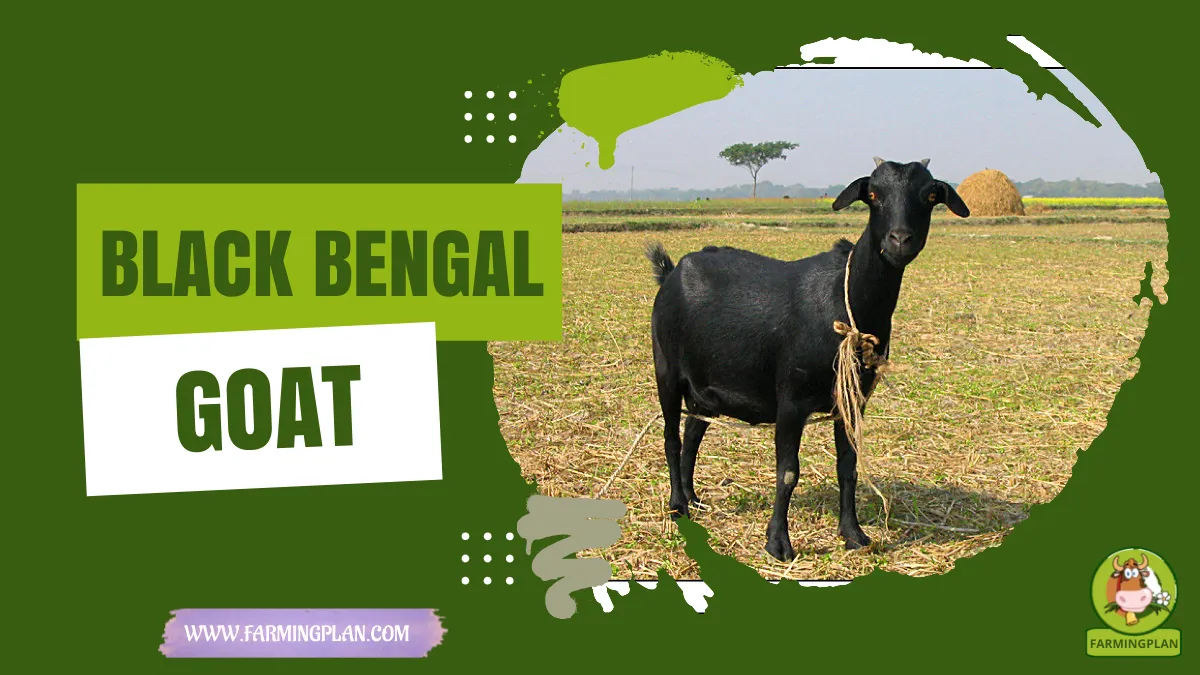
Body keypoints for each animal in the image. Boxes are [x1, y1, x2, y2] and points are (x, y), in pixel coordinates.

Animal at [645, 157, 969, 562]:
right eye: (873, 194)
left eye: (929, 196)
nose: (899, 240)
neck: (843, 301)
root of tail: (670, 272)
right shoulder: (791, 399)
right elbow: (787, 472)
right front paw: (778, 544)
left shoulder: (852, 400)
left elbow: (848, 467)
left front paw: (854, 534)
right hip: (666, 369)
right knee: (671, 436)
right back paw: (678, 506)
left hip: (707, 384)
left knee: (693, 431)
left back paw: (694, 497)